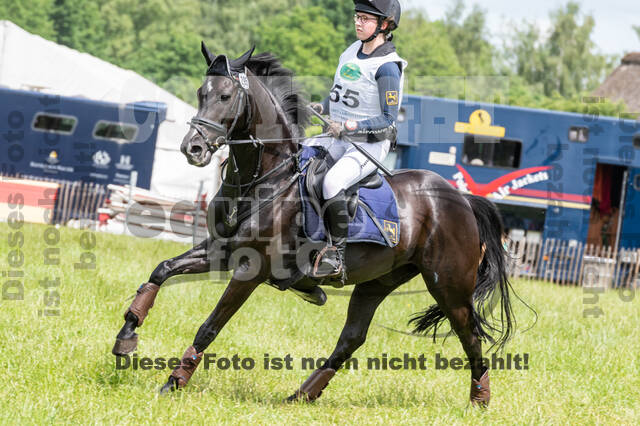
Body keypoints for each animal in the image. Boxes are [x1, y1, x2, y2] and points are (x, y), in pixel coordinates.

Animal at [112, 42, 518, 407]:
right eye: (201, 93)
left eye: (226, 96)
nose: (192, 149)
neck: (262, 180)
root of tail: (461, 200)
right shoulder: (219, 250)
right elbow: (161, 270)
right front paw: (127, 336)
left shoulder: (249, 269)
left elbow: (210, 325)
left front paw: (174, 382)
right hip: (378, 282)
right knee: (352, 338)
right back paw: (302, 394)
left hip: (448, 286)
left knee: (470, 334)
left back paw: (479, 400)